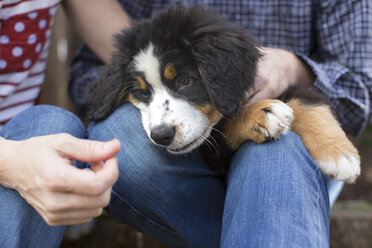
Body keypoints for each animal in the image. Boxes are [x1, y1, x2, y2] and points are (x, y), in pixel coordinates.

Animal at [83, 5, 360, 183]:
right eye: (142, 92)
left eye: (185, 81)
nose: (161, 136)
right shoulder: (214, 157)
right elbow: (224, 125)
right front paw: (260, 113)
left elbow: (309, 102)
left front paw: (339, 156)